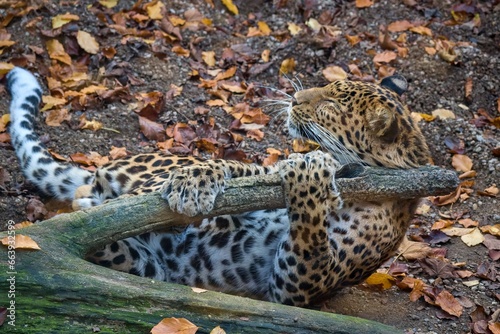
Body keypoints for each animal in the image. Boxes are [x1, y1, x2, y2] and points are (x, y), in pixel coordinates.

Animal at [4, 66, 430, 306]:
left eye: (331, 105)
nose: (294, 97)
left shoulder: (301, 284)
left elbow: (310, 232)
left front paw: (311, 176)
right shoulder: (262, 176)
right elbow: (240, 168)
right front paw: (197, 182)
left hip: (150, 266)